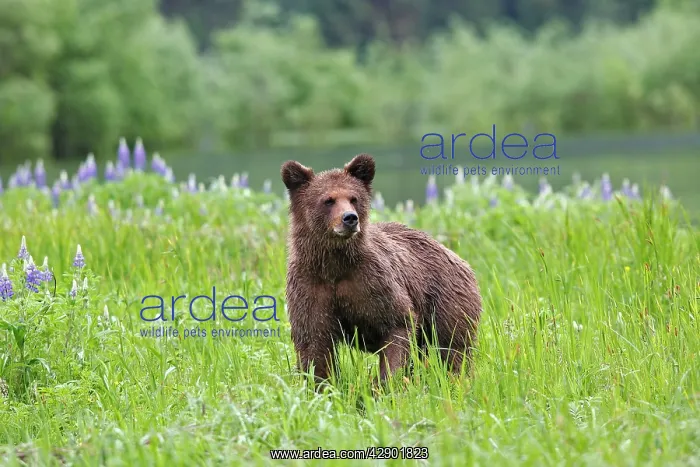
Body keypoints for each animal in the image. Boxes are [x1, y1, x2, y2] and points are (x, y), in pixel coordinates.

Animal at [281, 154, 482, 385]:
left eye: (353, 198)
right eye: (328, 200)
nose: (350, 218)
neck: (334, 265)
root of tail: (457, 257)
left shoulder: (371, 282)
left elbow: (397, 324)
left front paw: (385, 383)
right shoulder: (311, 286)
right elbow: (314, 344)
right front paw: (323, 385)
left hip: (447, 298)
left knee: (452, 346)